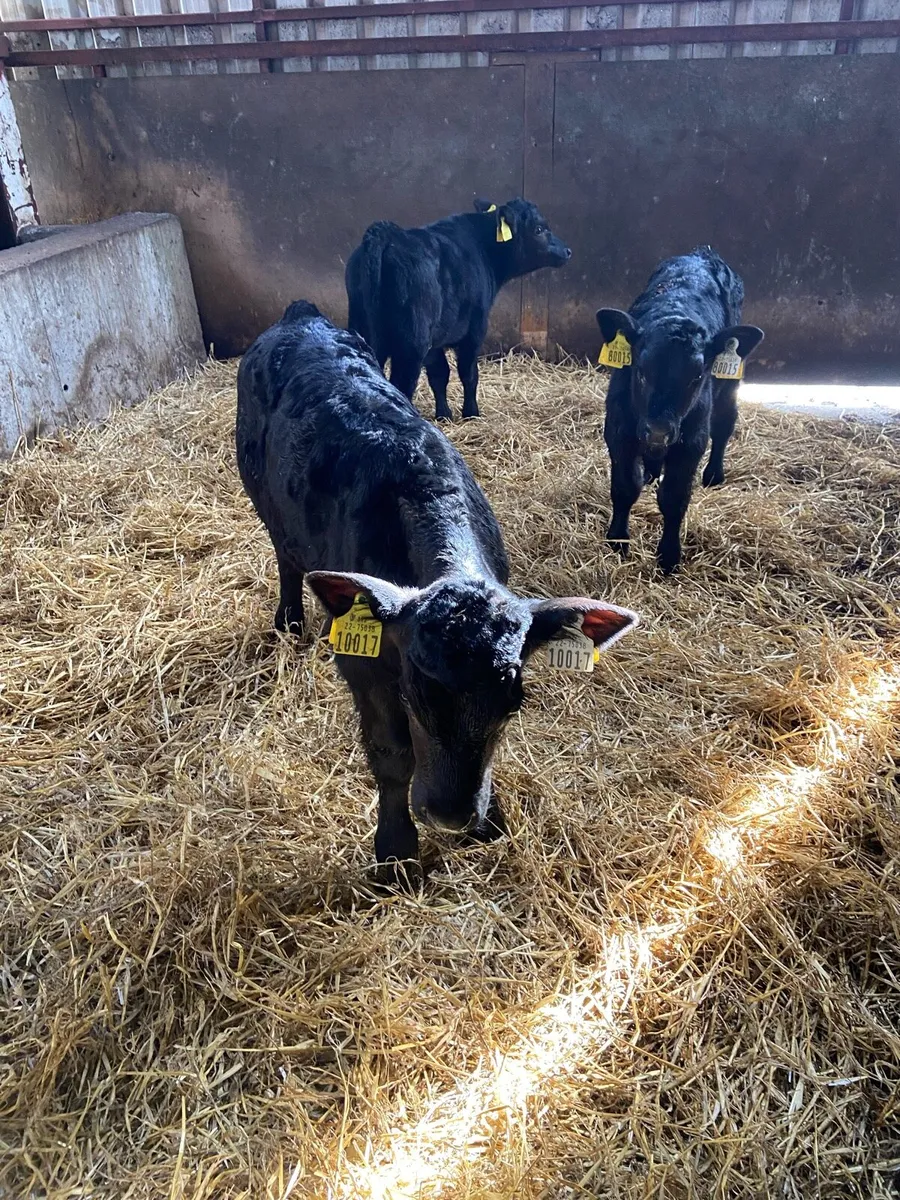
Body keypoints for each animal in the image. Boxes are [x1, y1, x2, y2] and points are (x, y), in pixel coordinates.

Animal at [236, 301, 639, 885]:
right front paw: (395, 850)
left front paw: (490, 820)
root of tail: (301, 316)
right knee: (284, 555)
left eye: (514, 700)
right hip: (262, 496)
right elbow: (392, 753)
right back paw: (288, 620)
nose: (450, 815)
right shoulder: (364, 662)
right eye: (413, 690)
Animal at [345, 197, 571, 421]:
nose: (567, 251)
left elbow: (439, 374)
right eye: (539, 229)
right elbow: (469, 373)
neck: (483, 249)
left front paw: (444, 414)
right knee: (402, 384)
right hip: (412, 342)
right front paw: (471, 413)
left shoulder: (435, 341)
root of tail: (388, 234)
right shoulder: (475, 329)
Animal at [596, 247, 764, 574]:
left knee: (724, 424)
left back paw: (714, 474)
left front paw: (669, 556)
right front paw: (618, 540)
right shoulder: (618, 428)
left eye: (697, 376)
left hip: (729, 383)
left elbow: (674, 498)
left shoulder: (692, 440)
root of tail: (702, 253)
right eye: (641, 371)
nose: (658, 432)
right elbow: (624, 487)